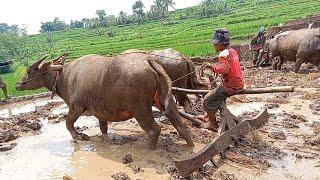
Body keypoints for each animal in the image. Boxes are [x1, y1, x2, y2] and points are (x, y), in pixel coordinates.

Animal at [16, 53, 194, 149]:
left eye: (29, 71)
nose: (17, 84)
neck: (65, 77)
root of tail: (148, 62)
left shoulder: (76, 107)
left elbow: (68, 124)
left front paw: (80, 136)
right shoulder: (100, 111)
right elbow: (103, 128)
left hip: (141, 109)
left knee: (153, 130)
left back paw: (149, 150)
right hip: (164, 100)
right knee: (180, 123)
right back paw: (191, 145)